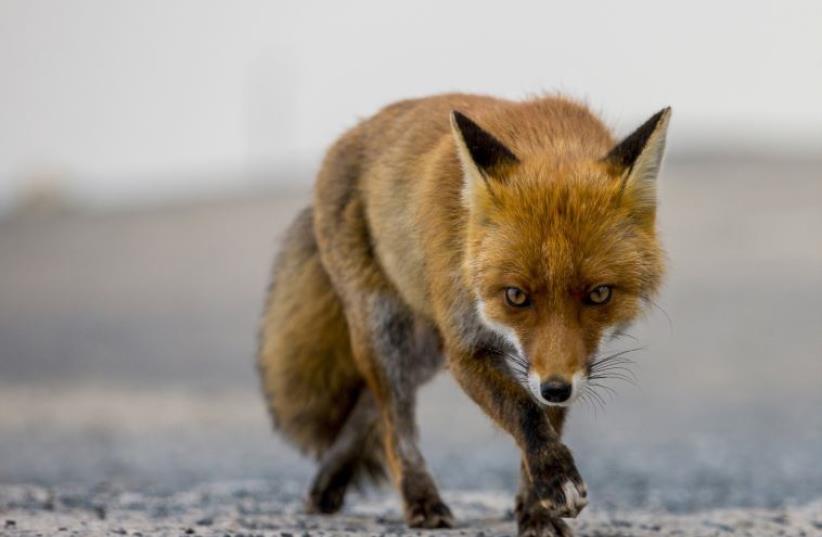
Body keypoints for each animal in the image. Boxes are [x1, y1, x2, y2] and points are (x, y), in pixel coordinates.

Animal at [258, 93, 668, 536]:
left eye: (599, 294)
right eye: (515, 296)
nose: (556, 389)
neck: (548, 140)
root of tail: (350, 134)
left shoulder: (556, 363)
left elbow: (543, 422)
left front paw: (536, 510)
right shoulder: (466, 349)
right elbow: (523, 412)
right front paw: (555, 480)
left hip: (424, 350)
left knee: (369, 406)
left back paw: (327, 482)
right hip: (387, 331)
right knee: (394, 425)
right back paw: (420, 500)